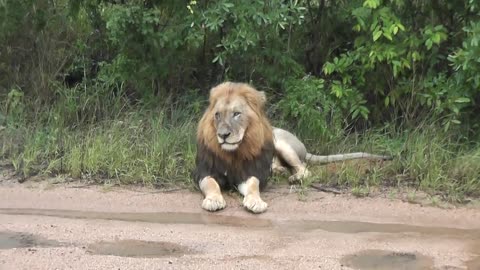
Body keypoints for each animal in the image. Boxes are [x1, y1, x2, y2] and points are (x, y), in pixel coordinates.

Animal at [193, 81, 392, 214]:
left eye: (236, 114)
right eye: (217, 115)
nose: (223, 135)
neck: (234, 153)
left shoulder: (252, 173)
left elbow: (254, 185)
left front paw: (256, 202)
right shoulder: (204, 172)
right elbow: (211, 184)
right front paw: (213, 200)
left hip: (281, 143)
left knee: (304, 169)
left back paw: (294, 178)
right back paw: (279, 170)